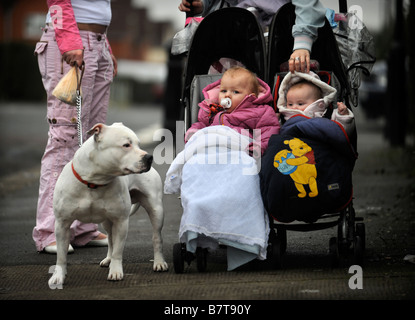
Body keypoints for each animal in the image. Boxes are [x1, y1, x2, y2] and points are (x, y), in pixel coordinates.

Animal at [50, 123, 169, 288]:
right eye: (126, 145)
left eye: (138, 144)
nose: (149, 157)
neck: (94, 182)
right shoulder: (62, 224)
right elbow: (61, 255)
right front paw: (58, 276)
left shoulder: (121, 221)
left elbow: (118, 251)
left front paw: (116, 271)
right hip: (106, 221)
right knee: (111, 240)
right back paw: (108, 259)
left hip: (156, 210)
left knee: (156, 237)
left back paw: (159, 262)